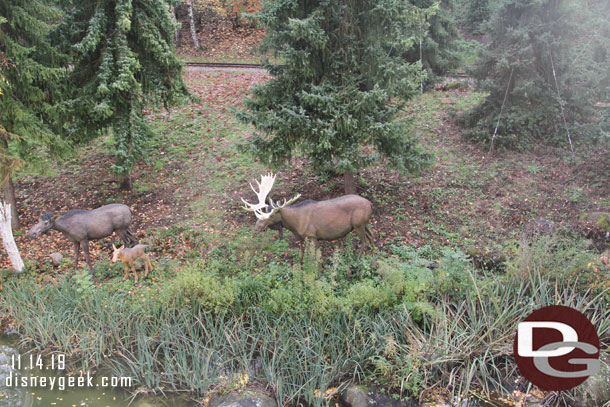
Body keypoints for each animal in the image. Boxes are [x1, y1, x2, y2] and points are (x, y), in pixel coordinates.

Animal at [240, 175, 372, 258]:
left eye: (272, 215)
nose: (256, 228)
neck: (294, 225)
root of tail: (370, 203)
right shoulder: (300, 238)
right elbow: (301, 255)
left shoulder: (312, 235)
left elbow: (317, 258)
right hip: (363, 223)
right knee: (371, 236)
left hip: (358, 224)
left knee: (365, 241)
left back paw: (357, 259)